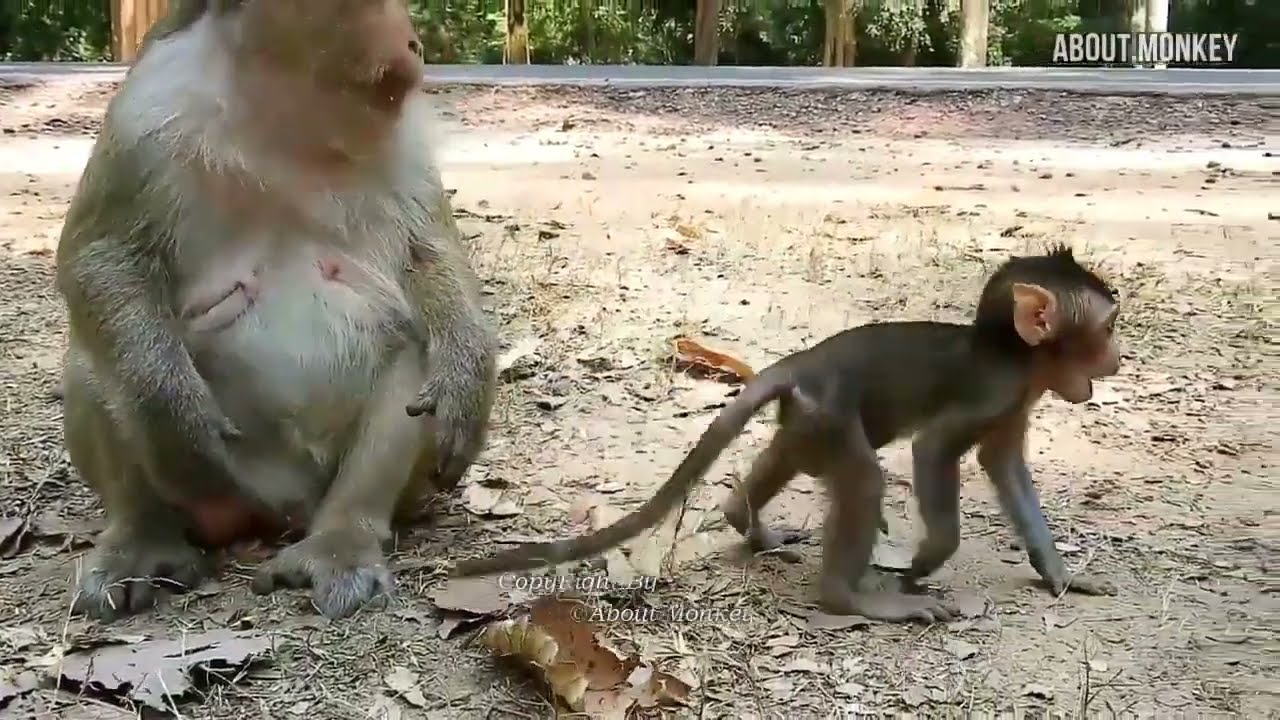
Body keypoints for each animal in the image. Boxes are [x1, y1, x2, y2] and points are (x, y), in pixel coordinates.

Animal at [55, 0, 497, 621]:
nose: (412, 44)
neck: (285, 107)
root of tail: (280, 511)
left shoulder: (404, 132)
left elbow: (427, 251)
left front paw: (467, 373)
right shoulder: (145, 110)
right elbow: (102, 257)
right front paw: (170, 417)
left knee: (410, 356)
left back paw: (339, 540)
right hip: (232, 486)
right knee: (95, 355)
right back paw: (142, 540)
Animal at [451, 247, 1120, 623]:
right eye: (1107, 329)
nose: (1118, 359)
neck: (1015, 358)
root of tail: (800, 364)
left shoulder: (1015, 405)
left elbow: (1004, 465)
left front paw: (1058, 574)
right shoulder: (993, 390)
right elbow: (933, 449)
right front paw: (929, 557)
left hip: (807, 418)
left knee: (790, 457)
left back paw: (745, 521)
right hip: (828, 414)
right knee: (864, 478)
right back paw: (850, 599)